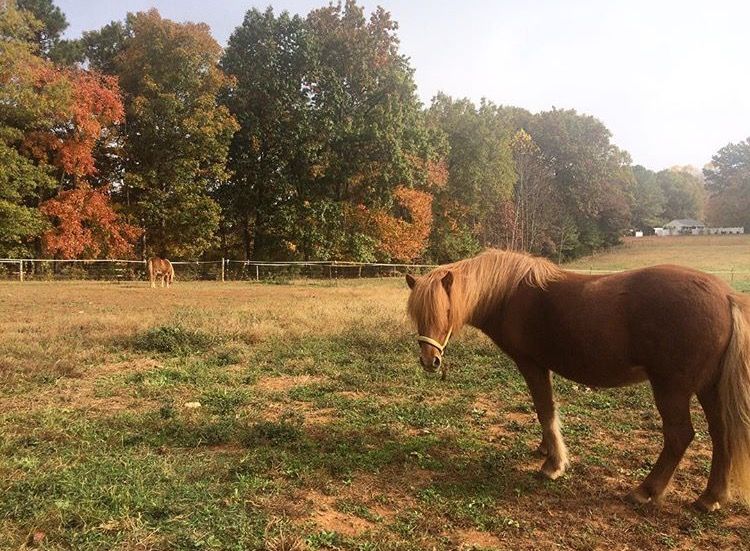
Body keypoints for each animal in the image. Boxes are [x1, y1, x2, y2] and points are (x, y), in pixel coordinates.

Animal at [408, 250, 750, 512]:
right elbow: (545, 412)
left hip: (672, 388)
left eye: (445, 311)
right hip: (709, 387)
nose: (429, 361)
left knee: (680, 436)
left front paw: (554, 465)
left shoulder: (532, 365)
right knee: (721, 434)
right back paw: (710, 498)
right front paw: (545, 450)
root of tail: (726, 296)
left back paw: (645, 490)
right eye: (417, 313)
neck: (509, 294)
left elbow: (545, 411)